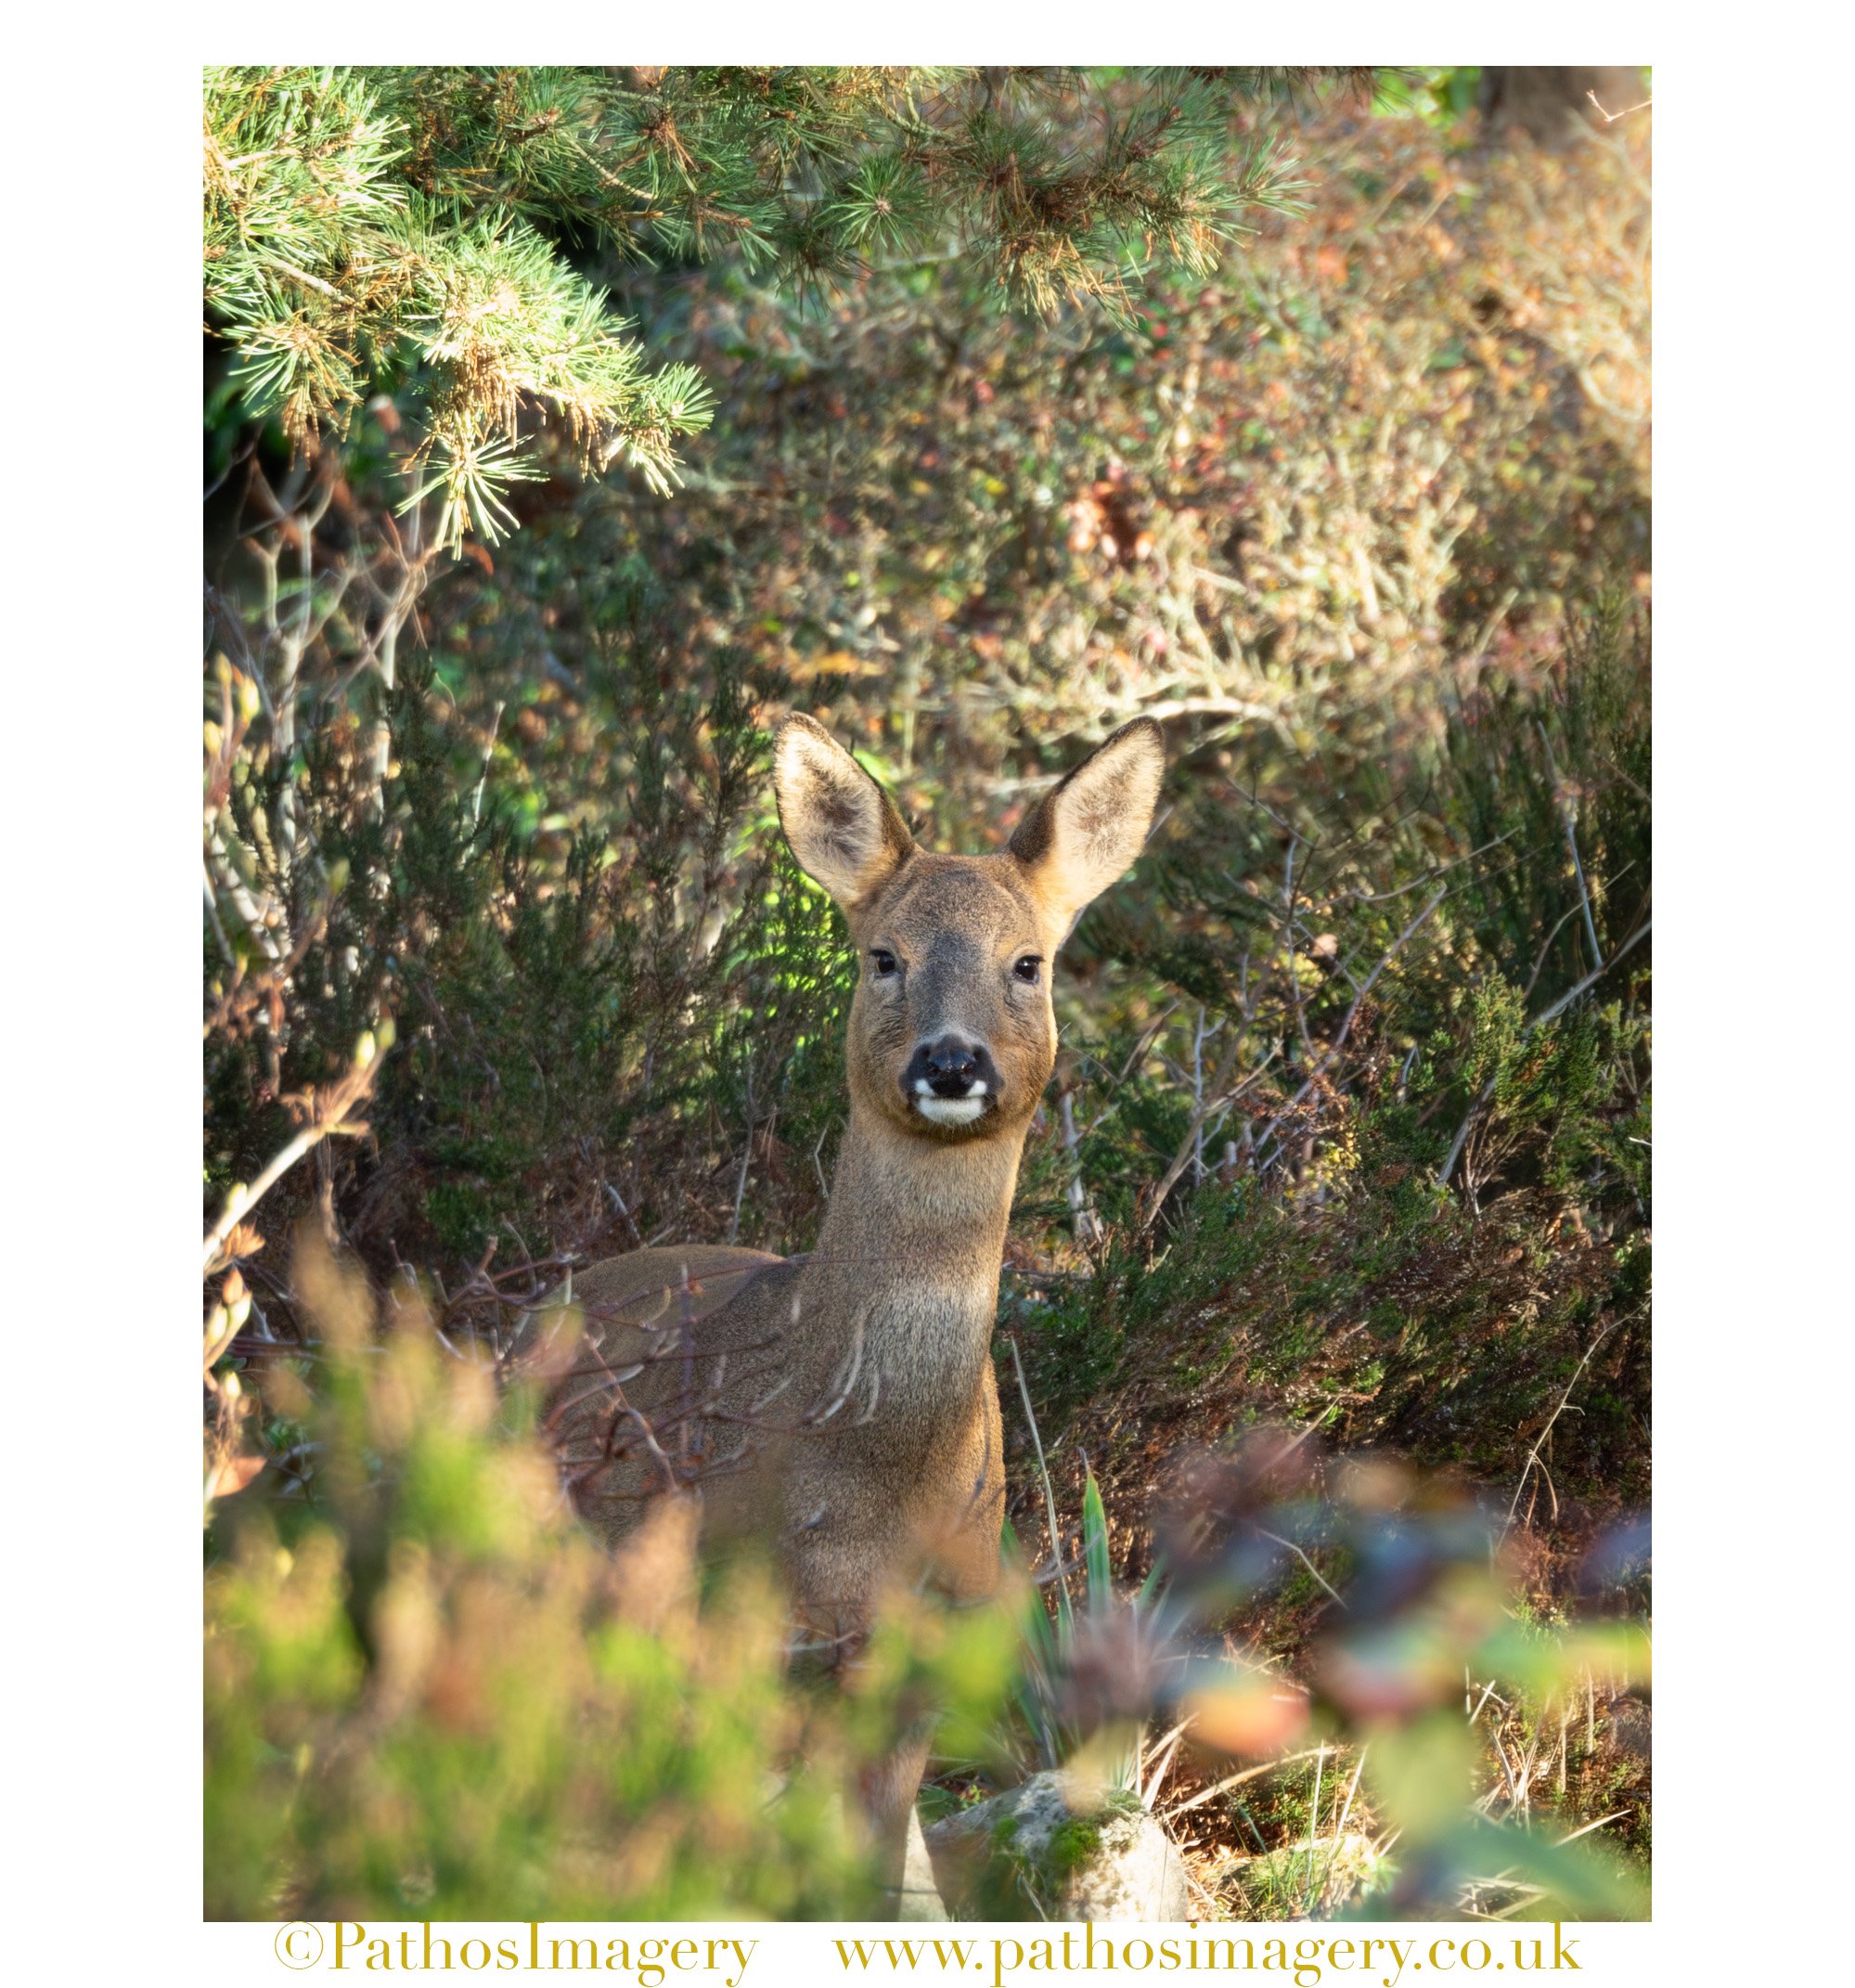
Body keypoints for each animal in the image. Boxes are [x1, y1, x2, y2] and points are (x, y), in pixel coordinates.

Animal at [540, 712, 1165, 1911]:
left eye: (1029, 962)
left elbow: (872, 1869)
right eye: (884, 957)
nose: (951, 1061)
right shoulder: (740, 1629)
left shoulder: (928, 1645)